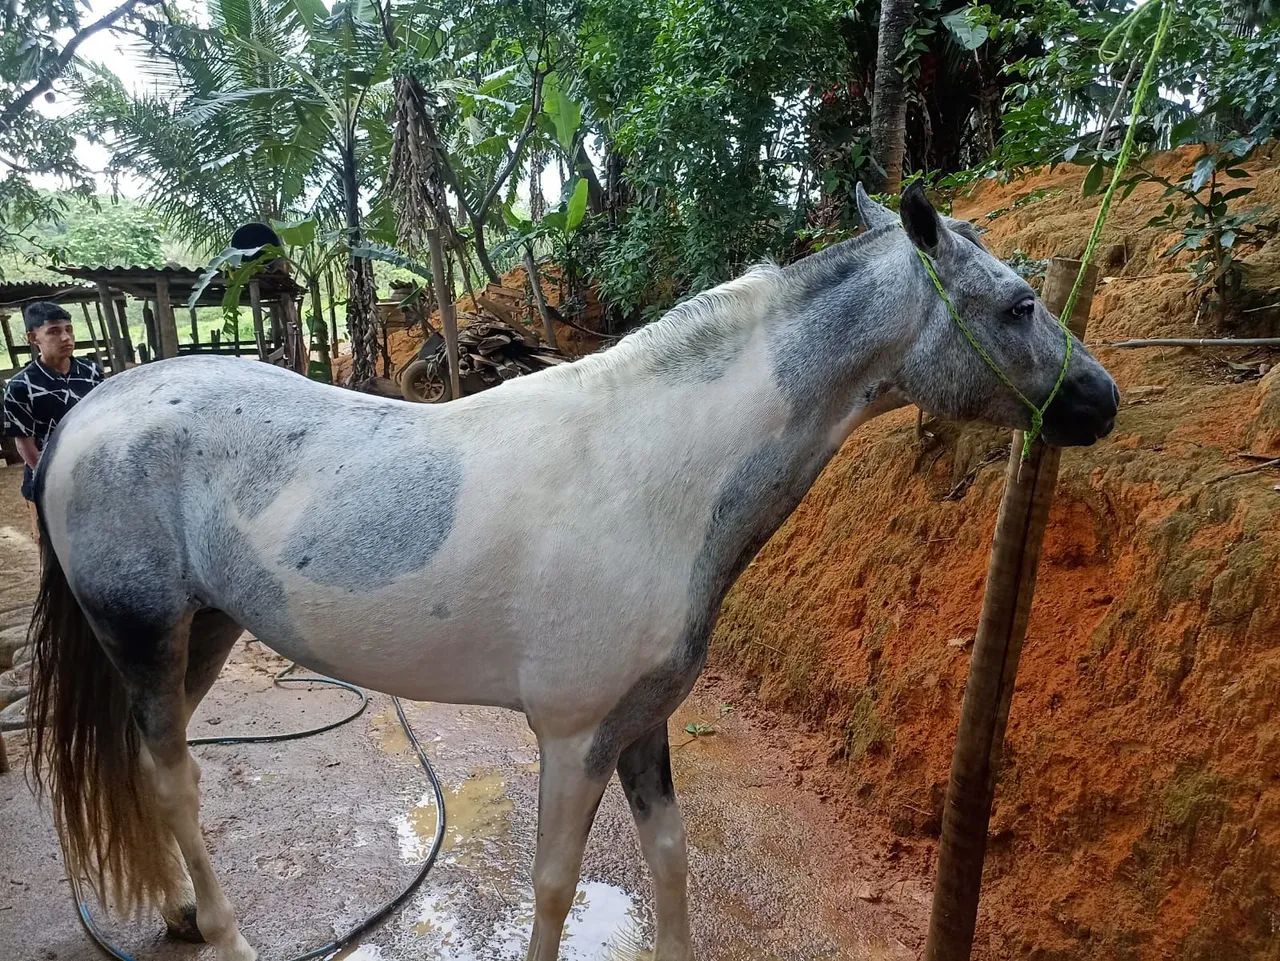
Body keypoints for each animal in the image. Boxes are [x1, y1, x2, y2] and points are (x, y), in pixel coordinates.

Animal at [26, 185, 1118, 961]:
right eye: (1018, 304)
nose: (1101, 401)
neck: (650, 472)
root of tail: (88, 412)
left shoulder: (642, 722)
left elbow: (670, 859)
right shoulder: (574, 734)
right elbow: (552, 885)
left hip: (204, 631)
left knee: (150, 765)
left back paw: (178, 911)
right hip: (146, 631)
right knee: (174, 779)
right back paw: (227, 933)